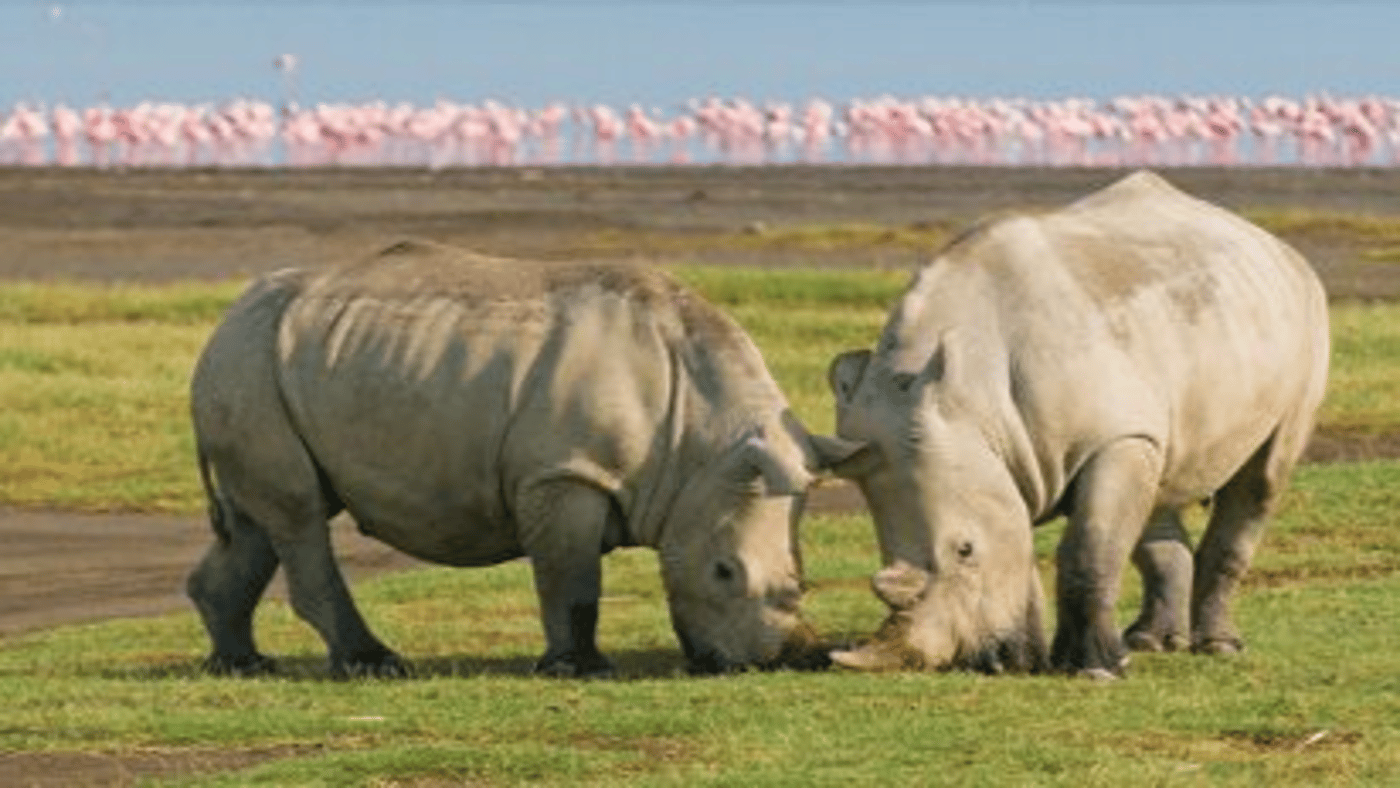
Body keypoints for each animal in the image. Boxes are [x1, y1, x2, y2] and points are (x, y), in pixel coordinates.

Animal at [187, 240, 831, 678]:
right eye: (724, 571)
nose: (780, 659)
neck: (702, 439)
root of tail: (225, 319)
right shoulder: (564, 471)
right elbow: (572, 578)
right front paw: (580, 670)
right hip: (248, 362)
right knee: (297, 512)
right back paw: (374, 664)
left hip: (268, 364)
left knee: (263, 518)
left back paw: (242, 664)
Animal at [817, 171, 1329, 678]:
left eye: (965, 550)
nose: (981, 664)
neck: (973, 398)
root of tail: (1272, 243)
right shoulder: (1001, 453)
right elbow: (1025, 542)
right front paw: (1037, 659)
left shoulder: (1113, 437)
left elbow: (1090, 545)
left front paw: (1093, 670)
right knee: (1160, 480)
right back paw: (1151, 642)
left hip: (1307, 314)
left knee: (1262, 479)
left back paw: (1218, 646)